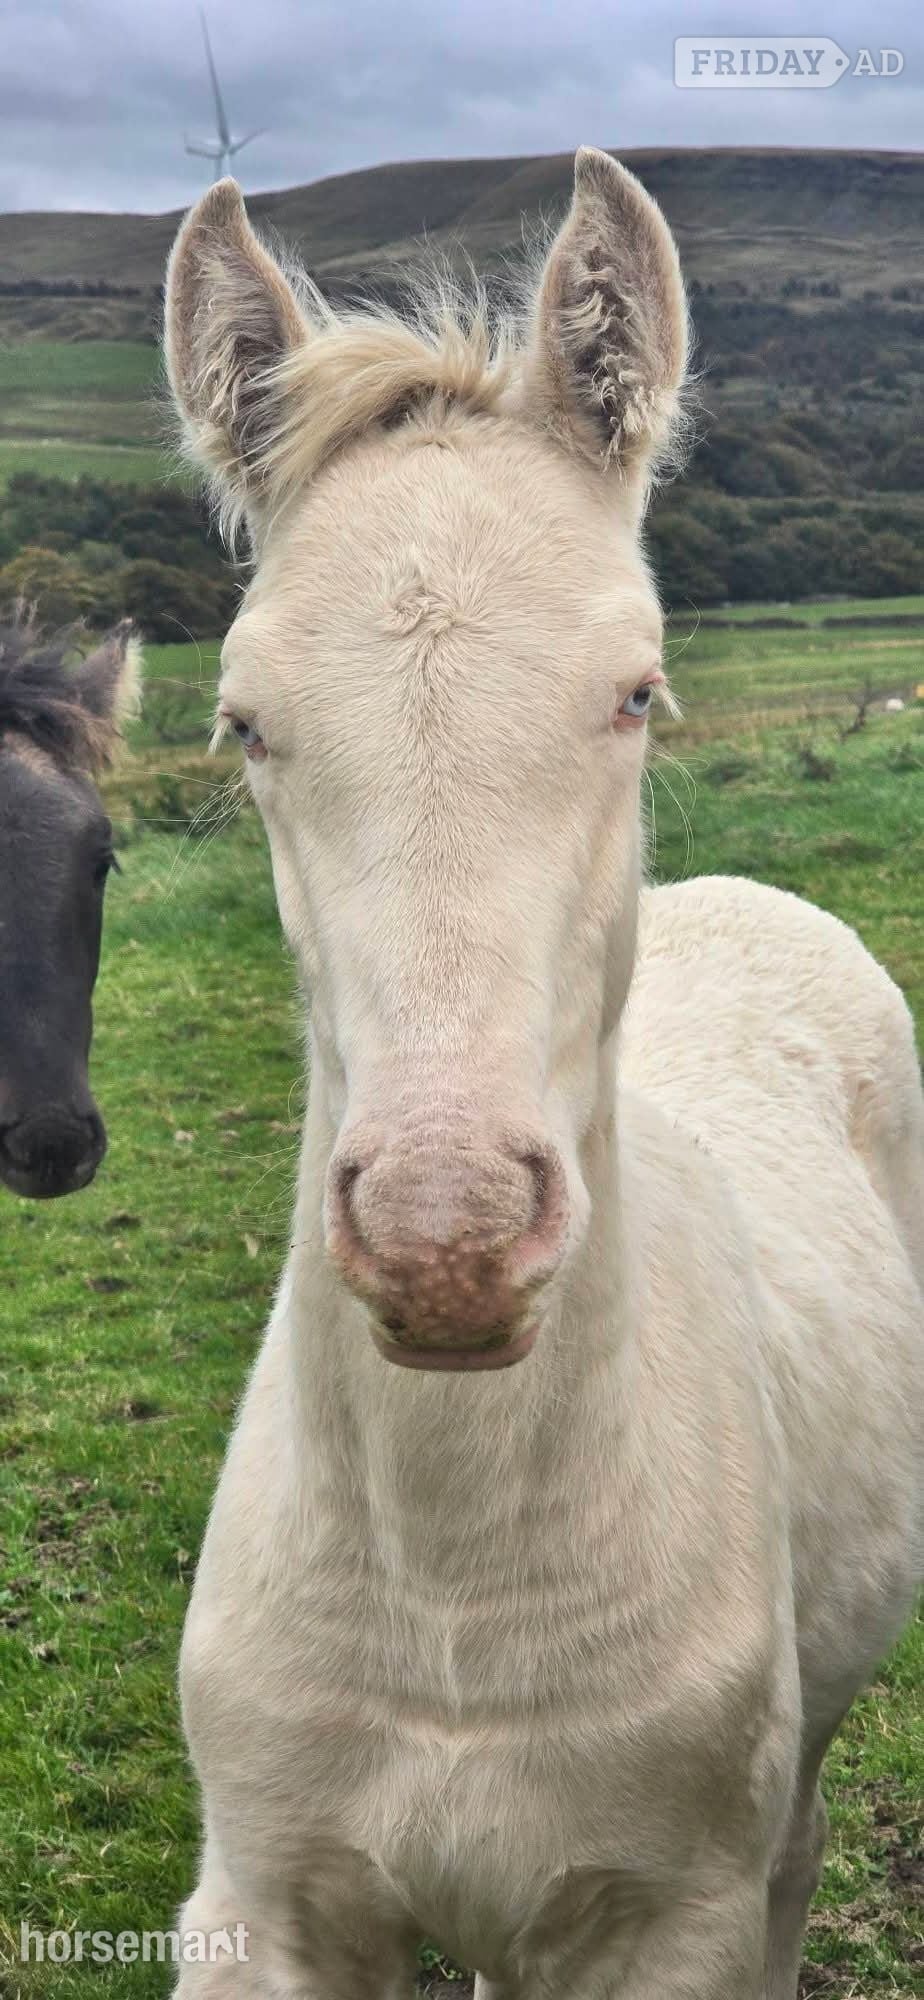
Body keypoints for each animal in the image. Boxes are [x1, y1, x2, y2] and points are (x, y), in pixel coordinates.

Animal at [163, 149, 924, 1998]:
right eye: (243, 722)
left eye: (635, 691)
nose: (443, 1242)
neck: (455, 1595)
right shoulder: (260, 1906)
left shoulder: (668, 1920)